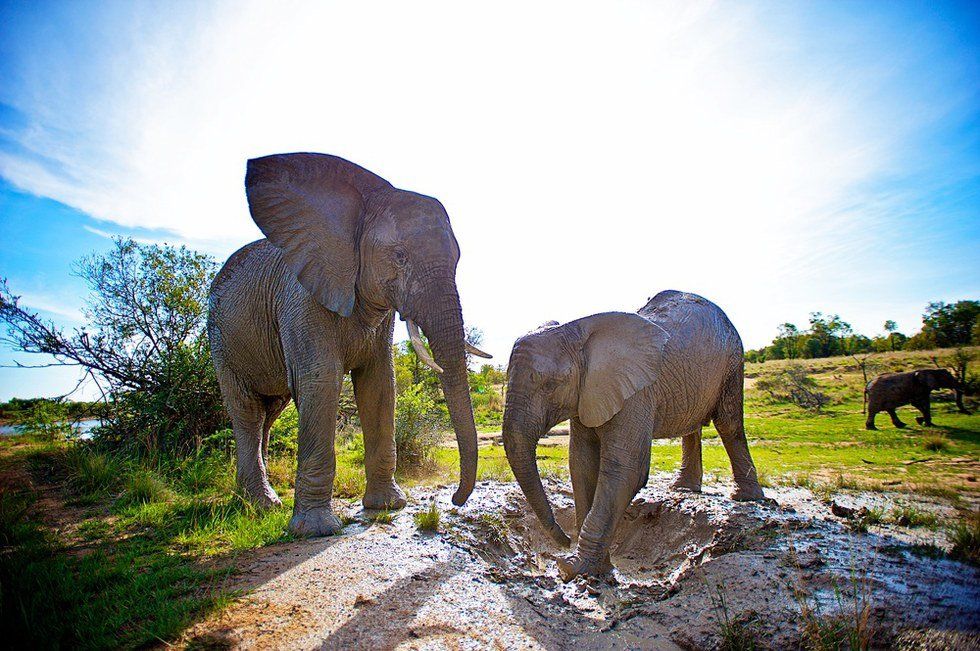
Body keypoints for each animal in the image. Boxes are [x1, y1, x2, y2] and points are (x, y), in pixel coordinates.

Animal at [207, 153, 491, 537]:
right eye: (399, 256)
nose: (455, 500)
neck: (358, 211)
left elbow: (379, 384)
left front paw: (387, 506)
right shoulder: (301, 299)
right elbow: (321, 381)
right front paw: (315, 530)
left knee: (270, 410)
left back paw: (255, 498)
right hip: (222, 338)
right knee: (247, 409)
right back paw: (263, 505)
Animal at [502, 290, 765, 581]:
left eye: (551, 385)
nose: (564, 541)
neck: (577, 330)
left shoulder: (636, 392)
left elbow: (625, 470)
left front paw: (574, 568)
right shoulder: (587, 393)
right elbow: (582, 464)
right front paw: (599, 568)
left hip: (733, 358)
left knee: (729, 424)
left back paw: (746, 497)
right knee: (692, 426)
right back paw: (684, 489)